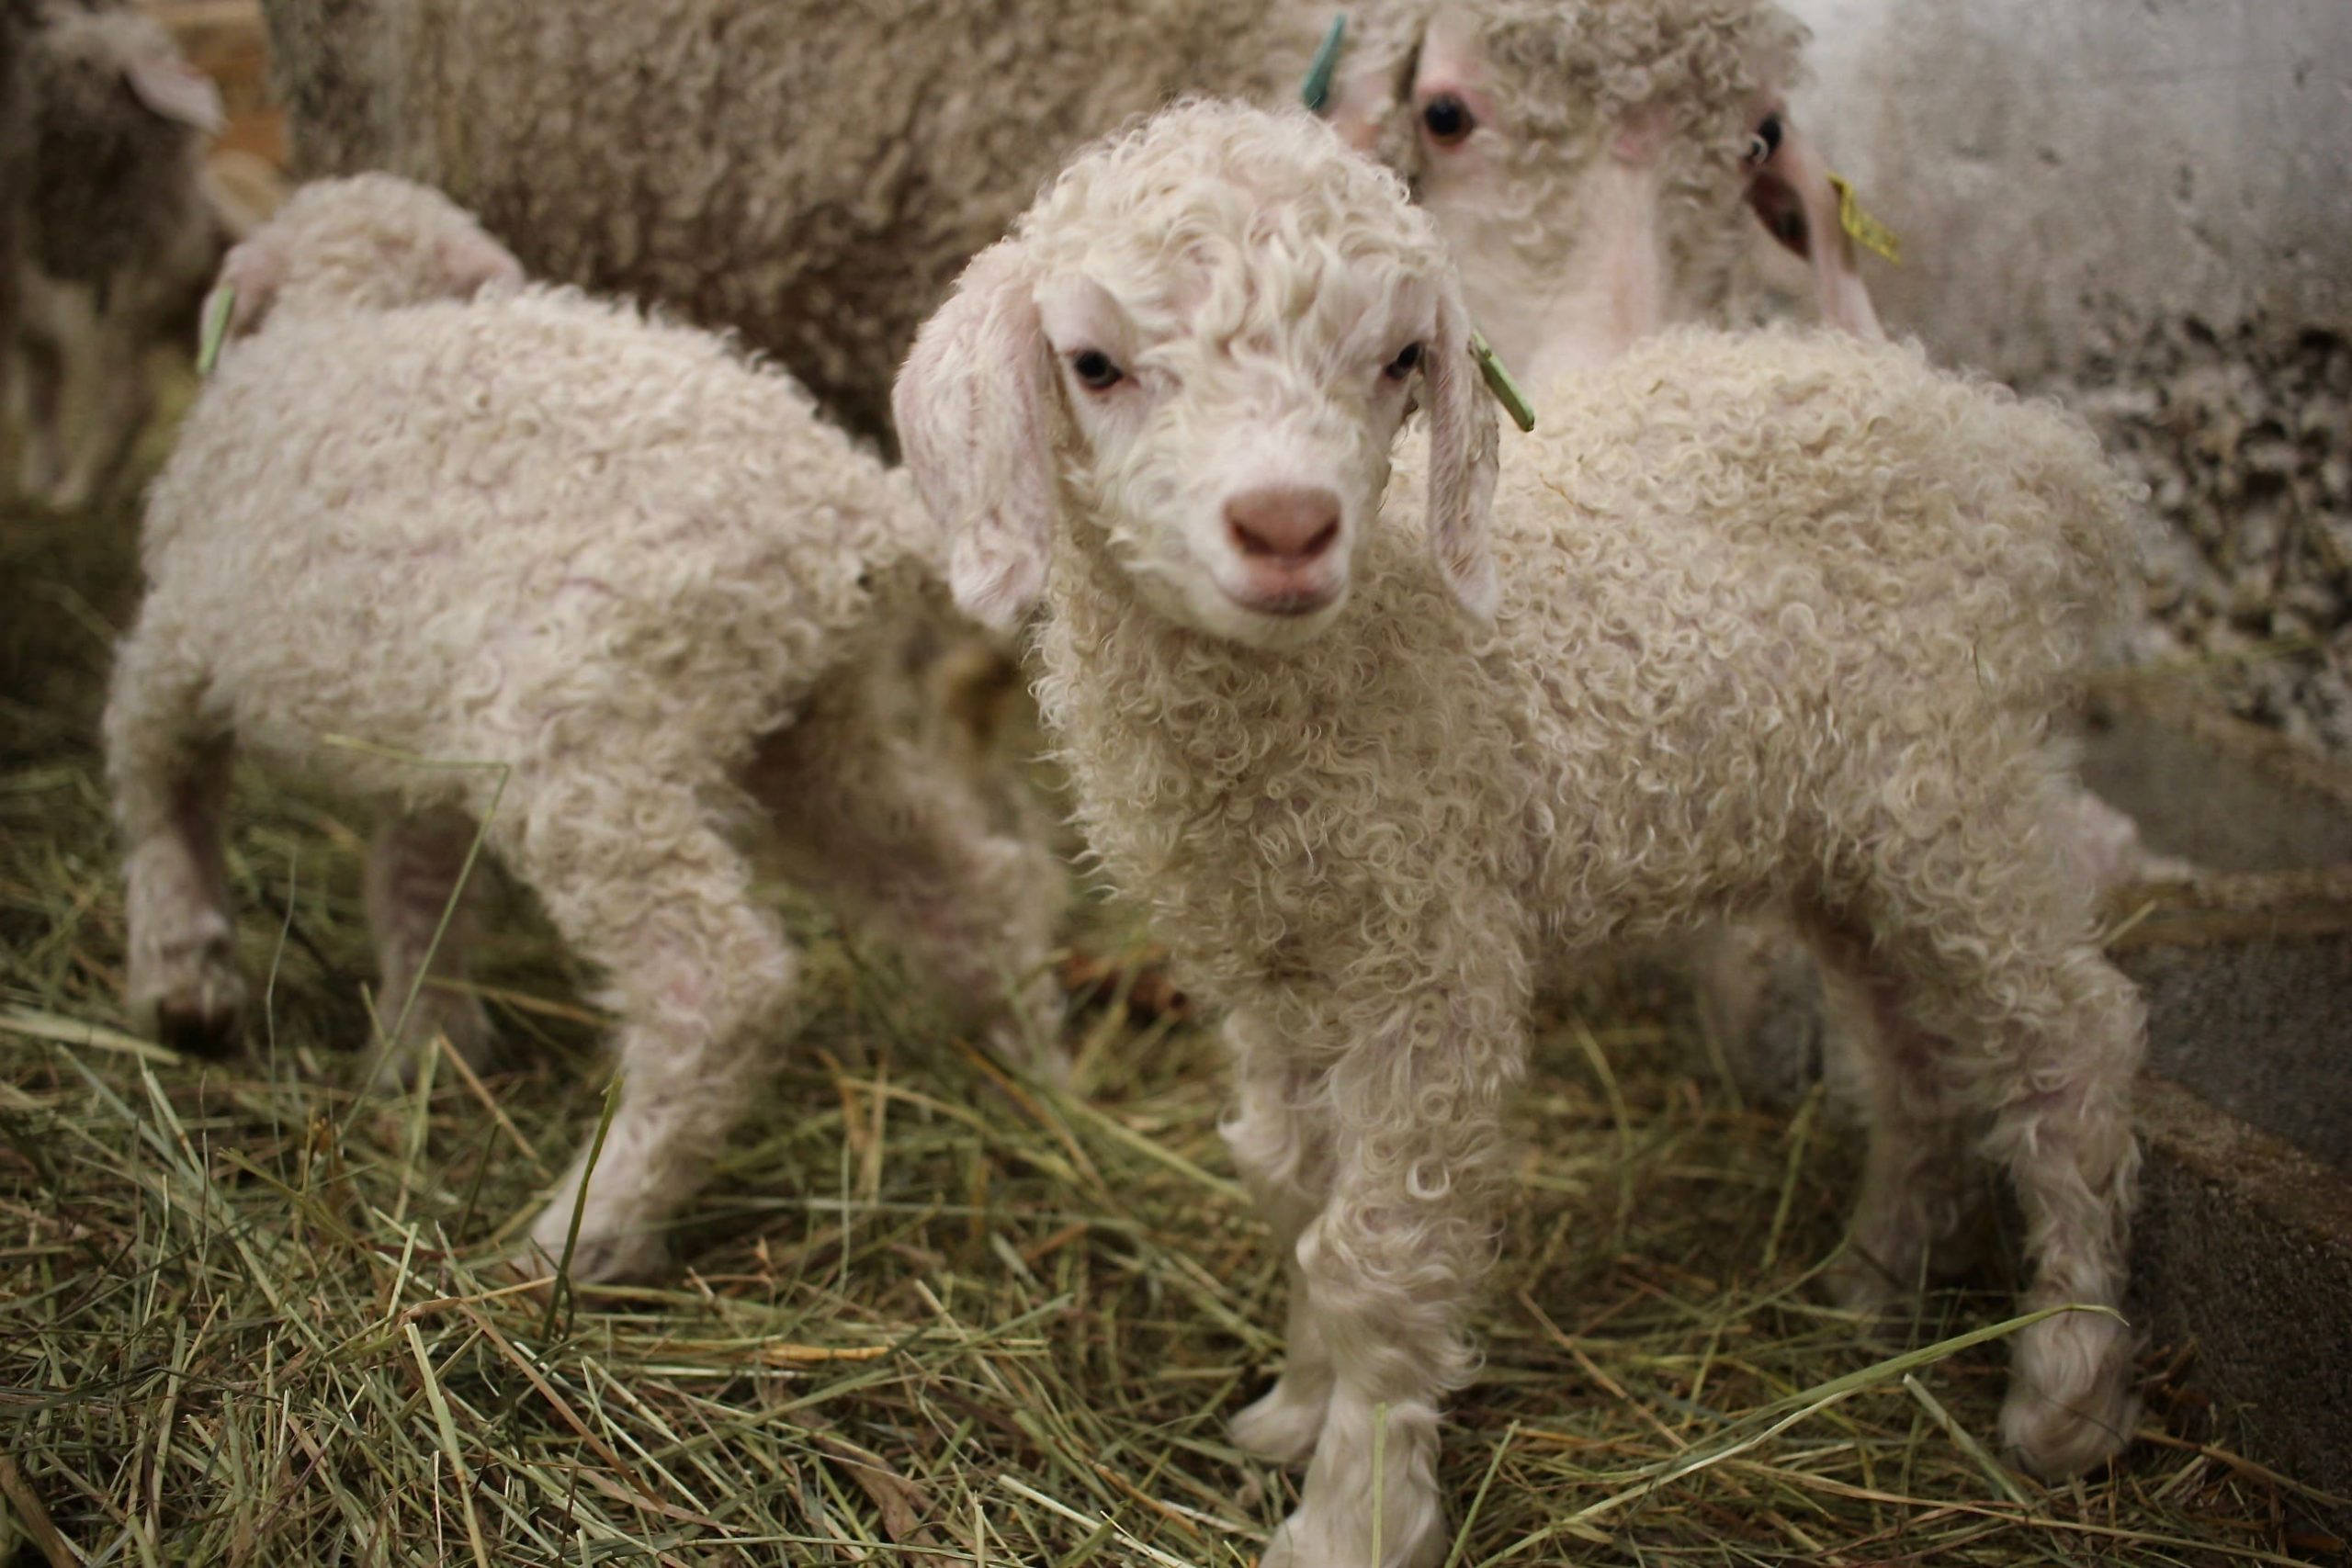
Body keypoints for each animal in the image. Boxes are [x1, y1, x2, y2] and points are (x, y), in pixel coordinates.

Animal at [105, 175, 1066, 1283]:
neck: (343, 308)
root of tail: (849, 509)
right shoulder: (425, 743)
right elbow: (417, 883)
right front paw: (421, 1044)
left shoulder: (182, 637)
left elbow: (156, 778)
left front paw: (183, 982)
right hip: (816, 731)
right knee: (963, 882)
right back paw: (1034, 1063)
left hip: (591, 742)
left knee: (717, 986)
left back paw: (582, 1234)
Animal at [895, 102, 2145, 1566]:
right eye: (1092, 363)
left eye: (1395, 360)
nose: (1287, 526)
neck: (1352, 668)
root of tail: (2044, 465)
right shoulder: (1275, 966)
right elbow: (1292, 1189)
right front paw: (1293, 1408)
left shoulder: (1435, 952)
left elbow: (1376, 1250)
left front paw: (1357, 1511)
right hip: (1849, 839)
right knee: (1913, 1059)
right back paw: (1869, 1290)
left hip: (1961, 789)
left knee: (2072, 1046)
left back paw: (2065, 1390)